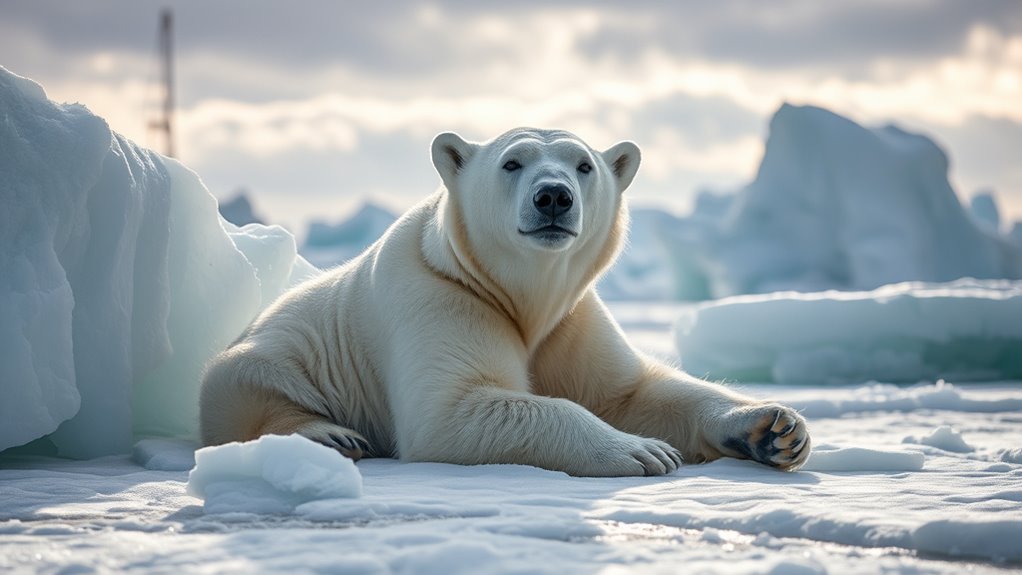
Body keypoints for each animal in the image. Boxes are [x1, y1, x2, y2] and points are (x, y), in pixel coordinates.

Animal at [199, 128, 811, 477]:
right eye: (512, 162)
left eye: (584, 165)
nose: (553, 196)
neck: (523, 298)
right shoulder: (440, 297)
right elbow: (453, 409)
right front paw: (641, 451)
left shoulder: (572, 320)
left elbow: (633, 390)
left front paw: (776, 428)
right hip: (263, 354)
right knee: (246, 388)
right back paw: (329, 433)